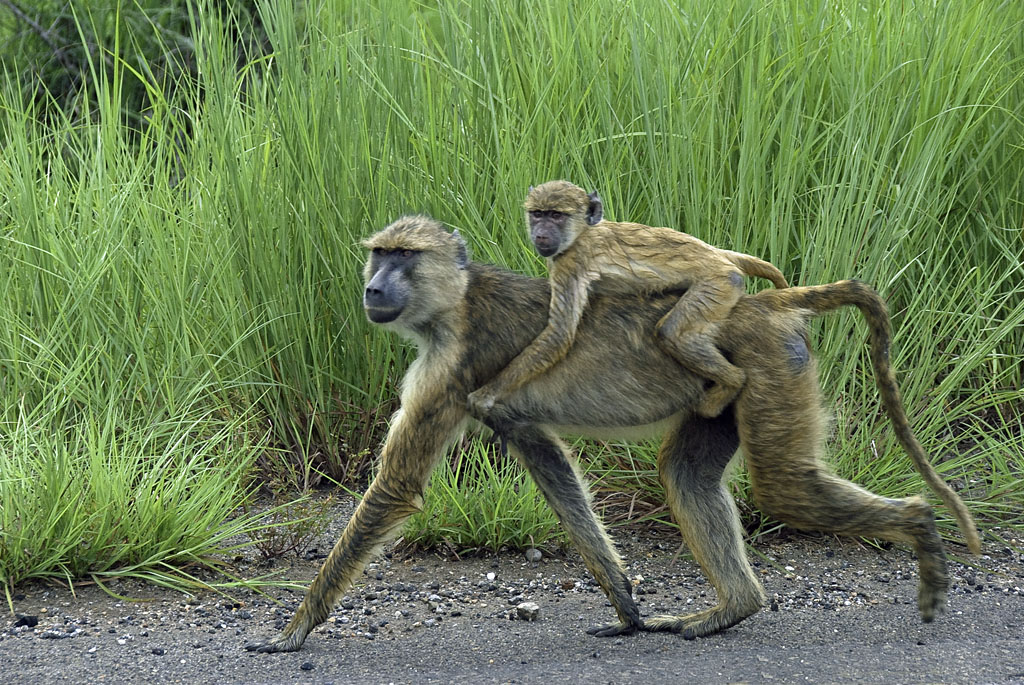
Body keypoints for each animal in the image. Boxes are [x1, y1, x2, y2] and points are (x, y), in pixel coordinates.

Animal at [245, 215, 979, 653]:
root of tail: (769, 303)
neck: (455, 300)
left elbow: (396, 486)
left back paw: (920, 527)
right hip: (722, 395)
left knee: (783, 488)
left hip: (769, 366)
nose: (373, 288)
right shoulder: (502, 406)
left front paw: (293, 630)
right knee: (688, 474)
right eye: (379, 253)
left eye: (404, 255)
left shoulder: (452, 368)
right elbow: (548, 463)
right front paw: (626, 605)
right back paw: (732, 607)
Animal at [467, 180, 789, 421]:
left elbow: (558, 336)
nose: (541, 234)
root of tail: (720, 257)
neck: (583, 232)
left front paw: (488, 394)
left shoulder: (571, 261)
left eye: (556, 215)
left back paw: (731, 383)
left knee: (672, 333)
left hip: (719, 283)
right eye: (537, 213)